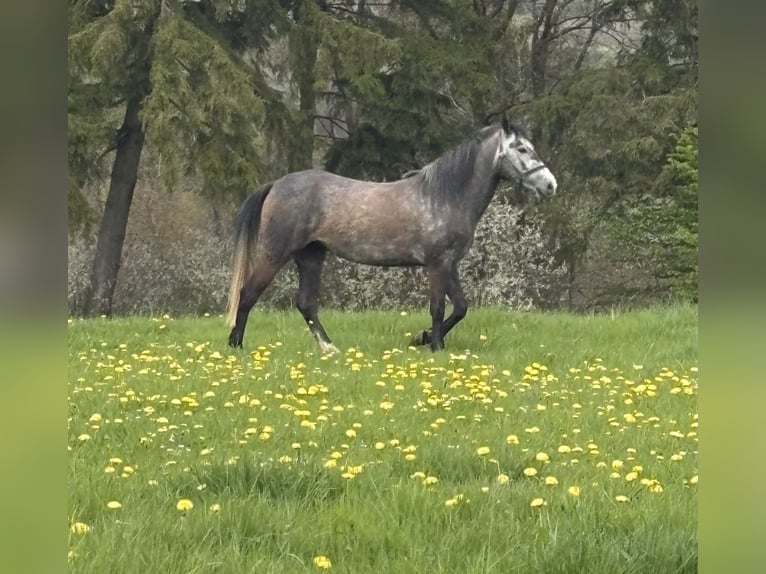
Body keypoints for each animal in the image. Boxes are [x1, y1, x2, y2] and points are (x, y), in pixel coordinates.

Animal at [226, 118, 558, 352]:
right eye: (522, 149)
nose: (550, 185)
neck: (444, 196)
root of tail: (276, 184)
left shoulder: (449, 264)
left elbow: (461, 308)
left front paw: (422, 338)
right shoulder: (437, 264)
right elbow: (438, 308)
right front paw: (435, 346)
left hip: (311, 256)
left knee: (306, 303)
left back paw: (330, 348)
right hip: (275, 254)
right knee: (248, 293)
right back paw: (236, 345)